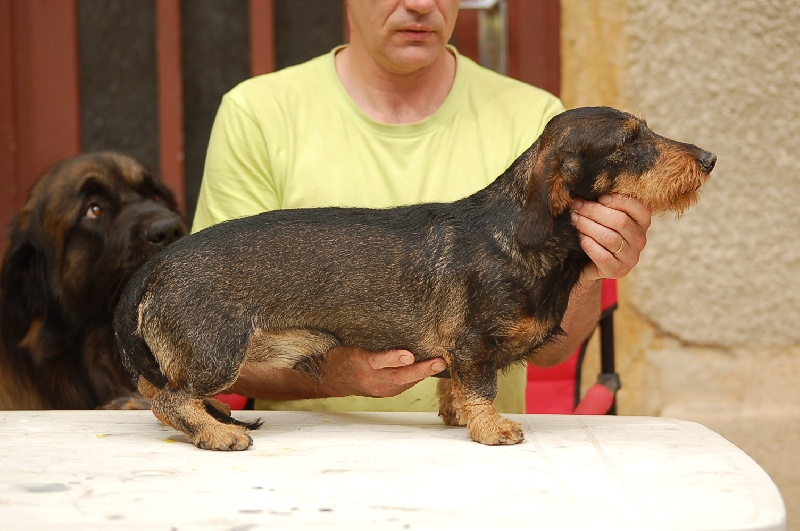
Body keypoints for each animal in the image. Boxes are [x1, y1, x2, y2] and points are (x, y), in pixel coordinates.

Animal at [114, 106, 720, 450]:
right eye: (631, 140)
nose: (710, 158)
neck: (518, 234)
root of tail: (155, 267)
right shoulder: (475, 343)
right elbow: (481, 387)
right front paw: (491, 428)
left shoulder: (459, 353)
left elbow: (455, 386)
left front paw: (456, 417)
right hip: (218, 353)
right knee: (170, 397)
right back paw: (218, 432)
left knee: (158, 391)